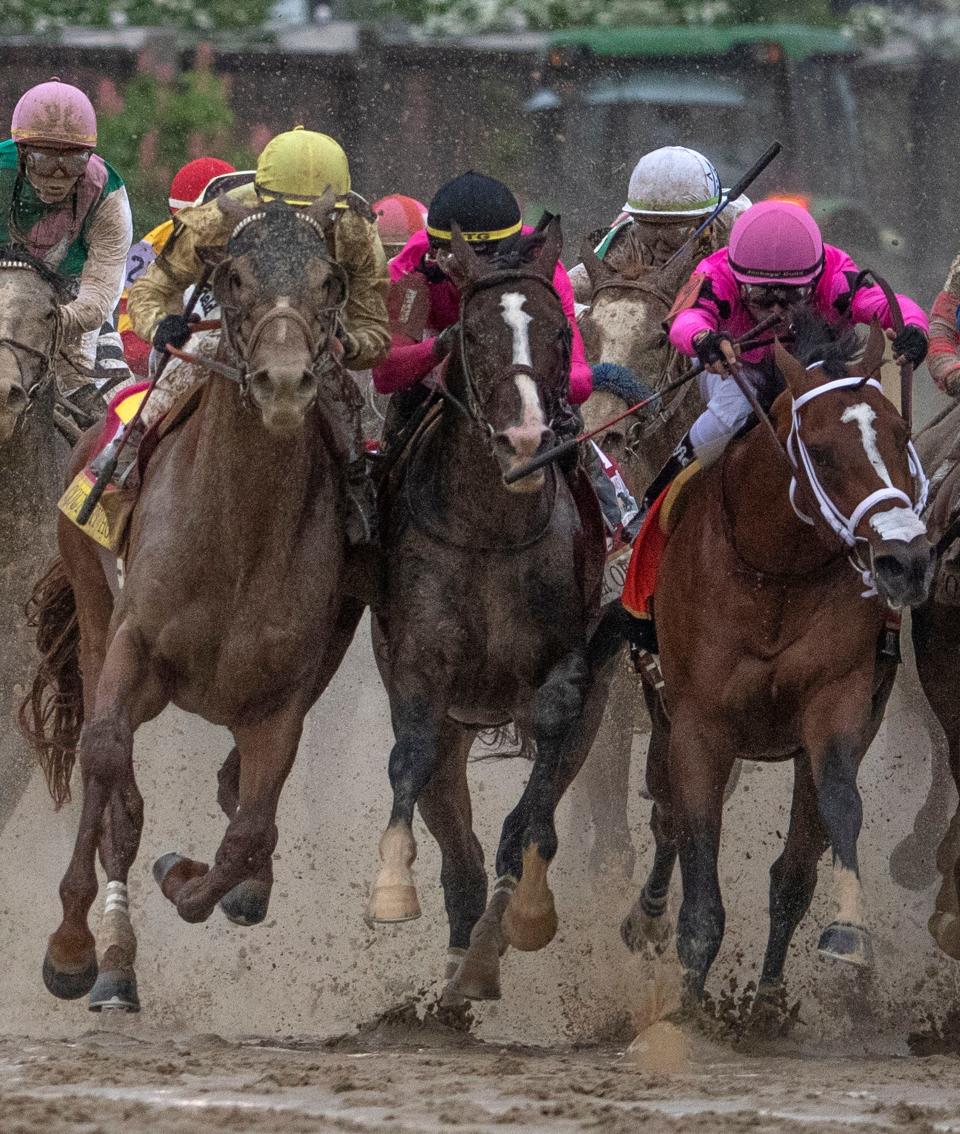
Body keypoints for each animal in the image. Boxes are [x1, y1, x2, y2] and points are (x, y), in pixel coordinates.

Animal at [23, 201, 367, 1011]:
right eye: (233, 278)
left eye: (329, 281)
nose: (283, 383)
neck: (238, 532)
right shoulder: (133, 644)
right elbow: (109, 766)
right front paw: (76, 947)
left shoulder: (283, 695)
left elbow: (245, 831)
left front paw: (193, 876)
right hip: (91, 601)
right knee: (112, 774)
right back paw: (106, 958)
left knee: (236, 800)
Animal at [364, 221, 612, 1002]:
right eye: (471, 334)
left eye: (561, 332)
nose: (527, 440)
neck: (490, 531)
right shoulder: (420, 665)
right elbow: (410, 754)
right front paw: (391, 886)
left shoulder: (569, 664)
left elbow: (538, 792)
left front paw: (526, 906)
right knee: (456, 837)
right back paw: (459, 961)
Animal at [621, 319, 933, 1011]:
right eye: (819, 451)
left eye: (902, 436)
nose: (905, 560)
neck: (775, 572)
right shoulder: (699, 724)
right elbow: (696, 860)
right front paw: (683, 1007)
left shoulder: (836, 700)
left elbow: (833, 815)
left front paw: (847, 933)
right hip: (659, 711)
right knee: (664, 814)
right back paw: (646, 919)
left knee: (790, 862)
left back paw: (765, 998)